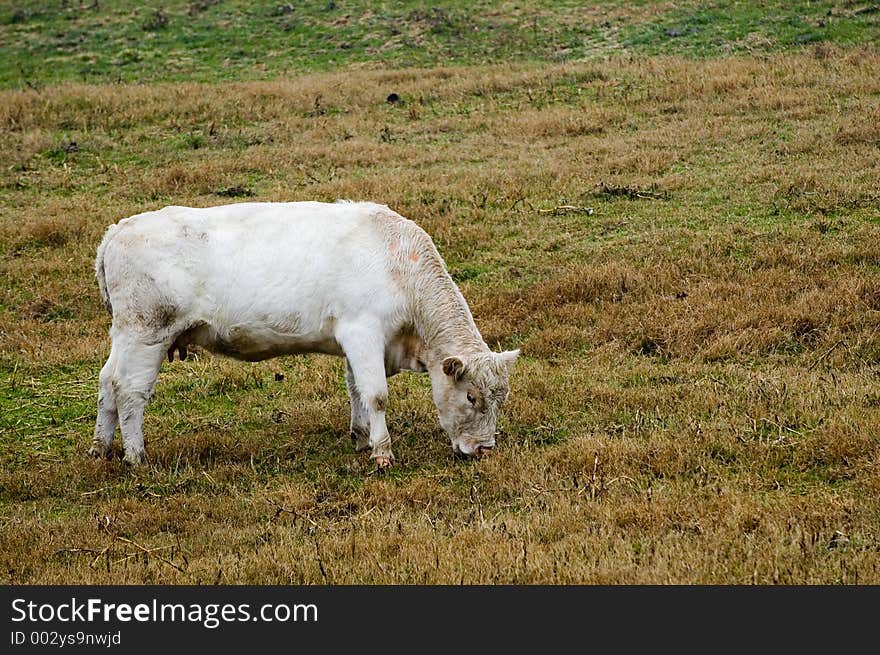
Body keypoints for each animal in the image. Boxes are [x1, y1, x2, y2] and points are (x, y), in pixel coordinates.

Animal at [91, 200, 516, 466]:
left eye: (500, 398)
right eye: (472, 396)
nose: (485, 450)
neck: (397, 263)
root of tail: (118, 229)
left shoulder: (353, 342)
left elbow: (355, 390)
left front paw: (361, 438)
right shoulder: (363, 332)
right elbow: (376, 395)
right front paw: (382, 452)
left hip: (125, 337)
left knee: (107, 383)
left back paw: (101, 449)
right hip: (146, 335)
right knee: (130, 392)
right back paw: (136, 456)